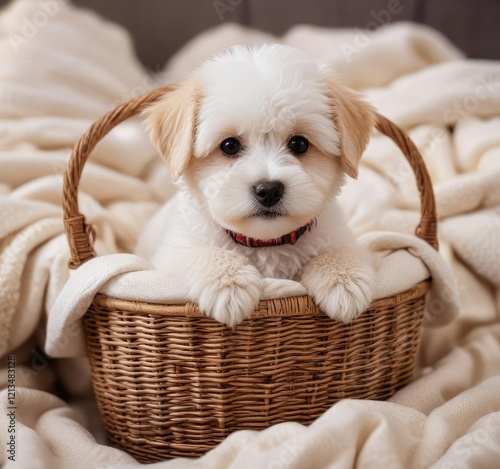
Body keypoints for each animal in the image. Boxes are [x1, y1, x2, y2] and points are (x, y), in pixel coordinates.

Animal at [140, 45, 376, 328]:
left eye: (299, 144)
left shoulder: (342, 236)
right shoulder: (172, 253)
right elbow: (202, 253)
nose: (269, 190)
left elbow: (342, 250)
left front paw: (343, 279)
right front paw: (229, 284)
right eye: (229, 146)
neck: (266, 243)